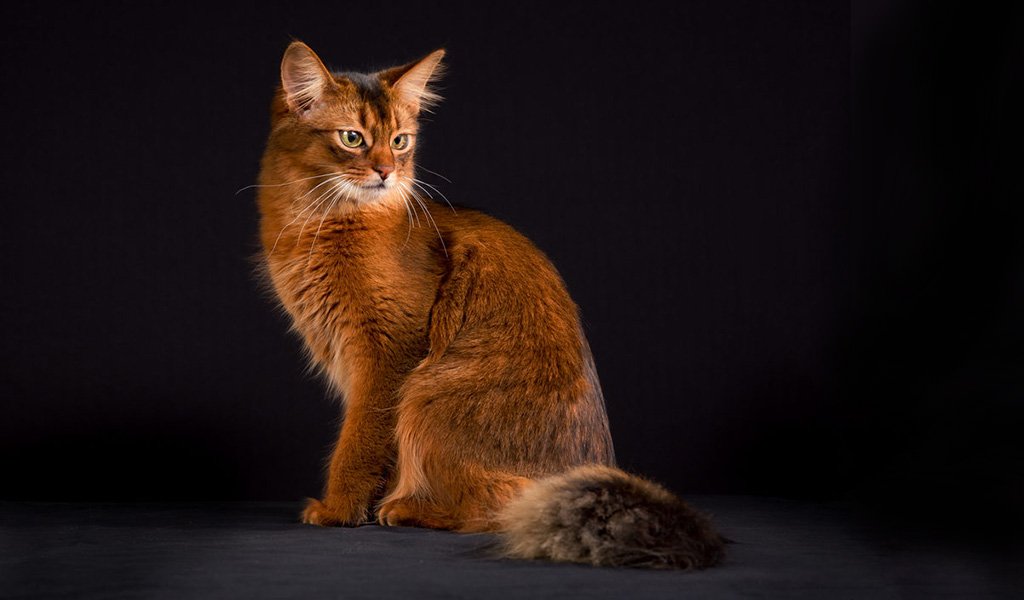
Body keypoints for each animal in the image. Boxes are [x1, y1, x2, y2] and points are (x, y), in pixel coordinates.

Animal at [252, 40, 724, 565]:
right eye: (352, 138)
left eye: (400, 141)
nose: (387, 171)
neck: (314, 225)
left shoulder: (388, 355)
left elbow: (358, 443)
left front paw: (338, 509)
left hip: (427, 393)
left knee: (494, 507)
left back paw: (407, 508)